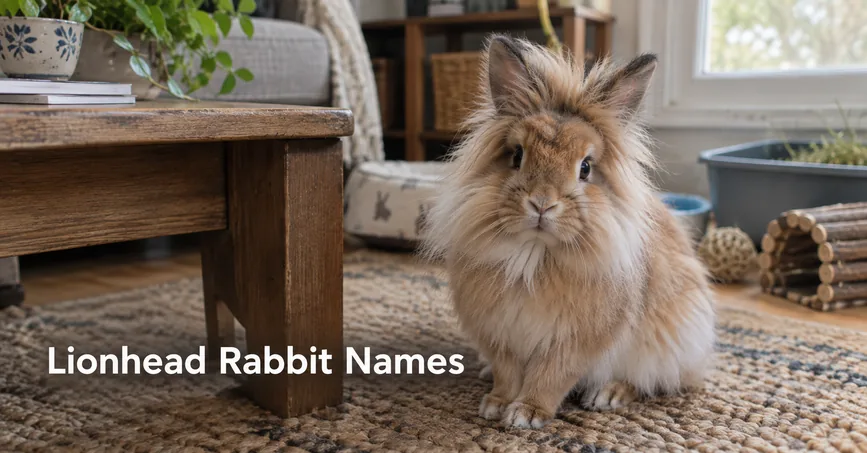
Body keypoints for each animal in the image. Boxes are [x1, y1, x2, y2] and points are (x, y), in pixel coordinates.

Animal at [420, 35, 716, 429]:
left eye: (586, 167)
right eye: (517, 156)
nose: (542, 204)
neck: (534, 252)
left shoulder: (575, 342)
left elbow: (552, 376)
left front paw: (527, 414)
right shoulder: (501, 335)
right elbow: (507, 372)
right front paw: (496, 404)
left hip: (667, 344)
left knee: (650, 380)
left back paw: (608, 395)